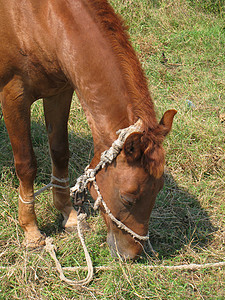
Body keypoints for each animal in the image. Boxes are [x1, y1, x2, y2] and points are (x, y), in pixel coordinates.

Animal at [0, 0, 176, 260]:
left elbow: (60, 152)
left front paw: (69, 214)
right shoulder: (14, 96)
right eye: (128, 198)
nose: (133, 254)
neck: (39, 18)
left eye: (159, 189)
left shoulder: (59, 91)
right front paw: (31, 231)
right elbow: (26, 164)